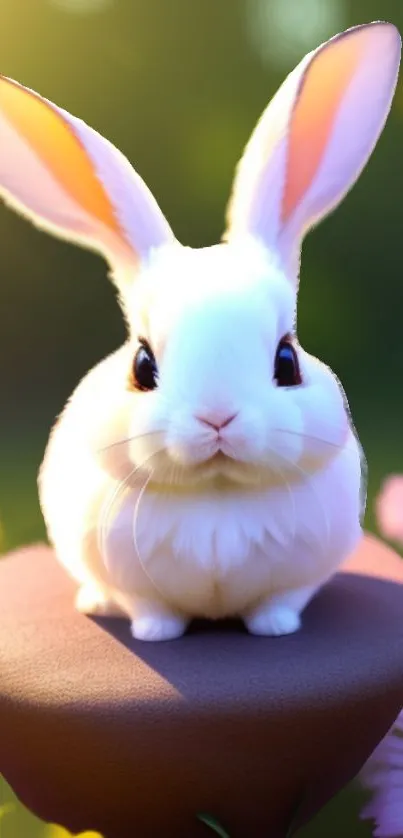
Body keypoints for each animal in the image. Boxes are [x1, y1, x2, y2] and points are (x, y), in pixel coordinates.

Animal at [0, 21, 400, 644]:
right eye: (142, 367)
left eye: (287, 362)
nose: (217, 418)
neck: (218, 492)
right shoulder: (134, 582)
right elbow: (148, 607)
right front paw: (155, 634)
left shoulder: (298, 578)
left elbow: (282, 601)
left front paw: (275, 630)